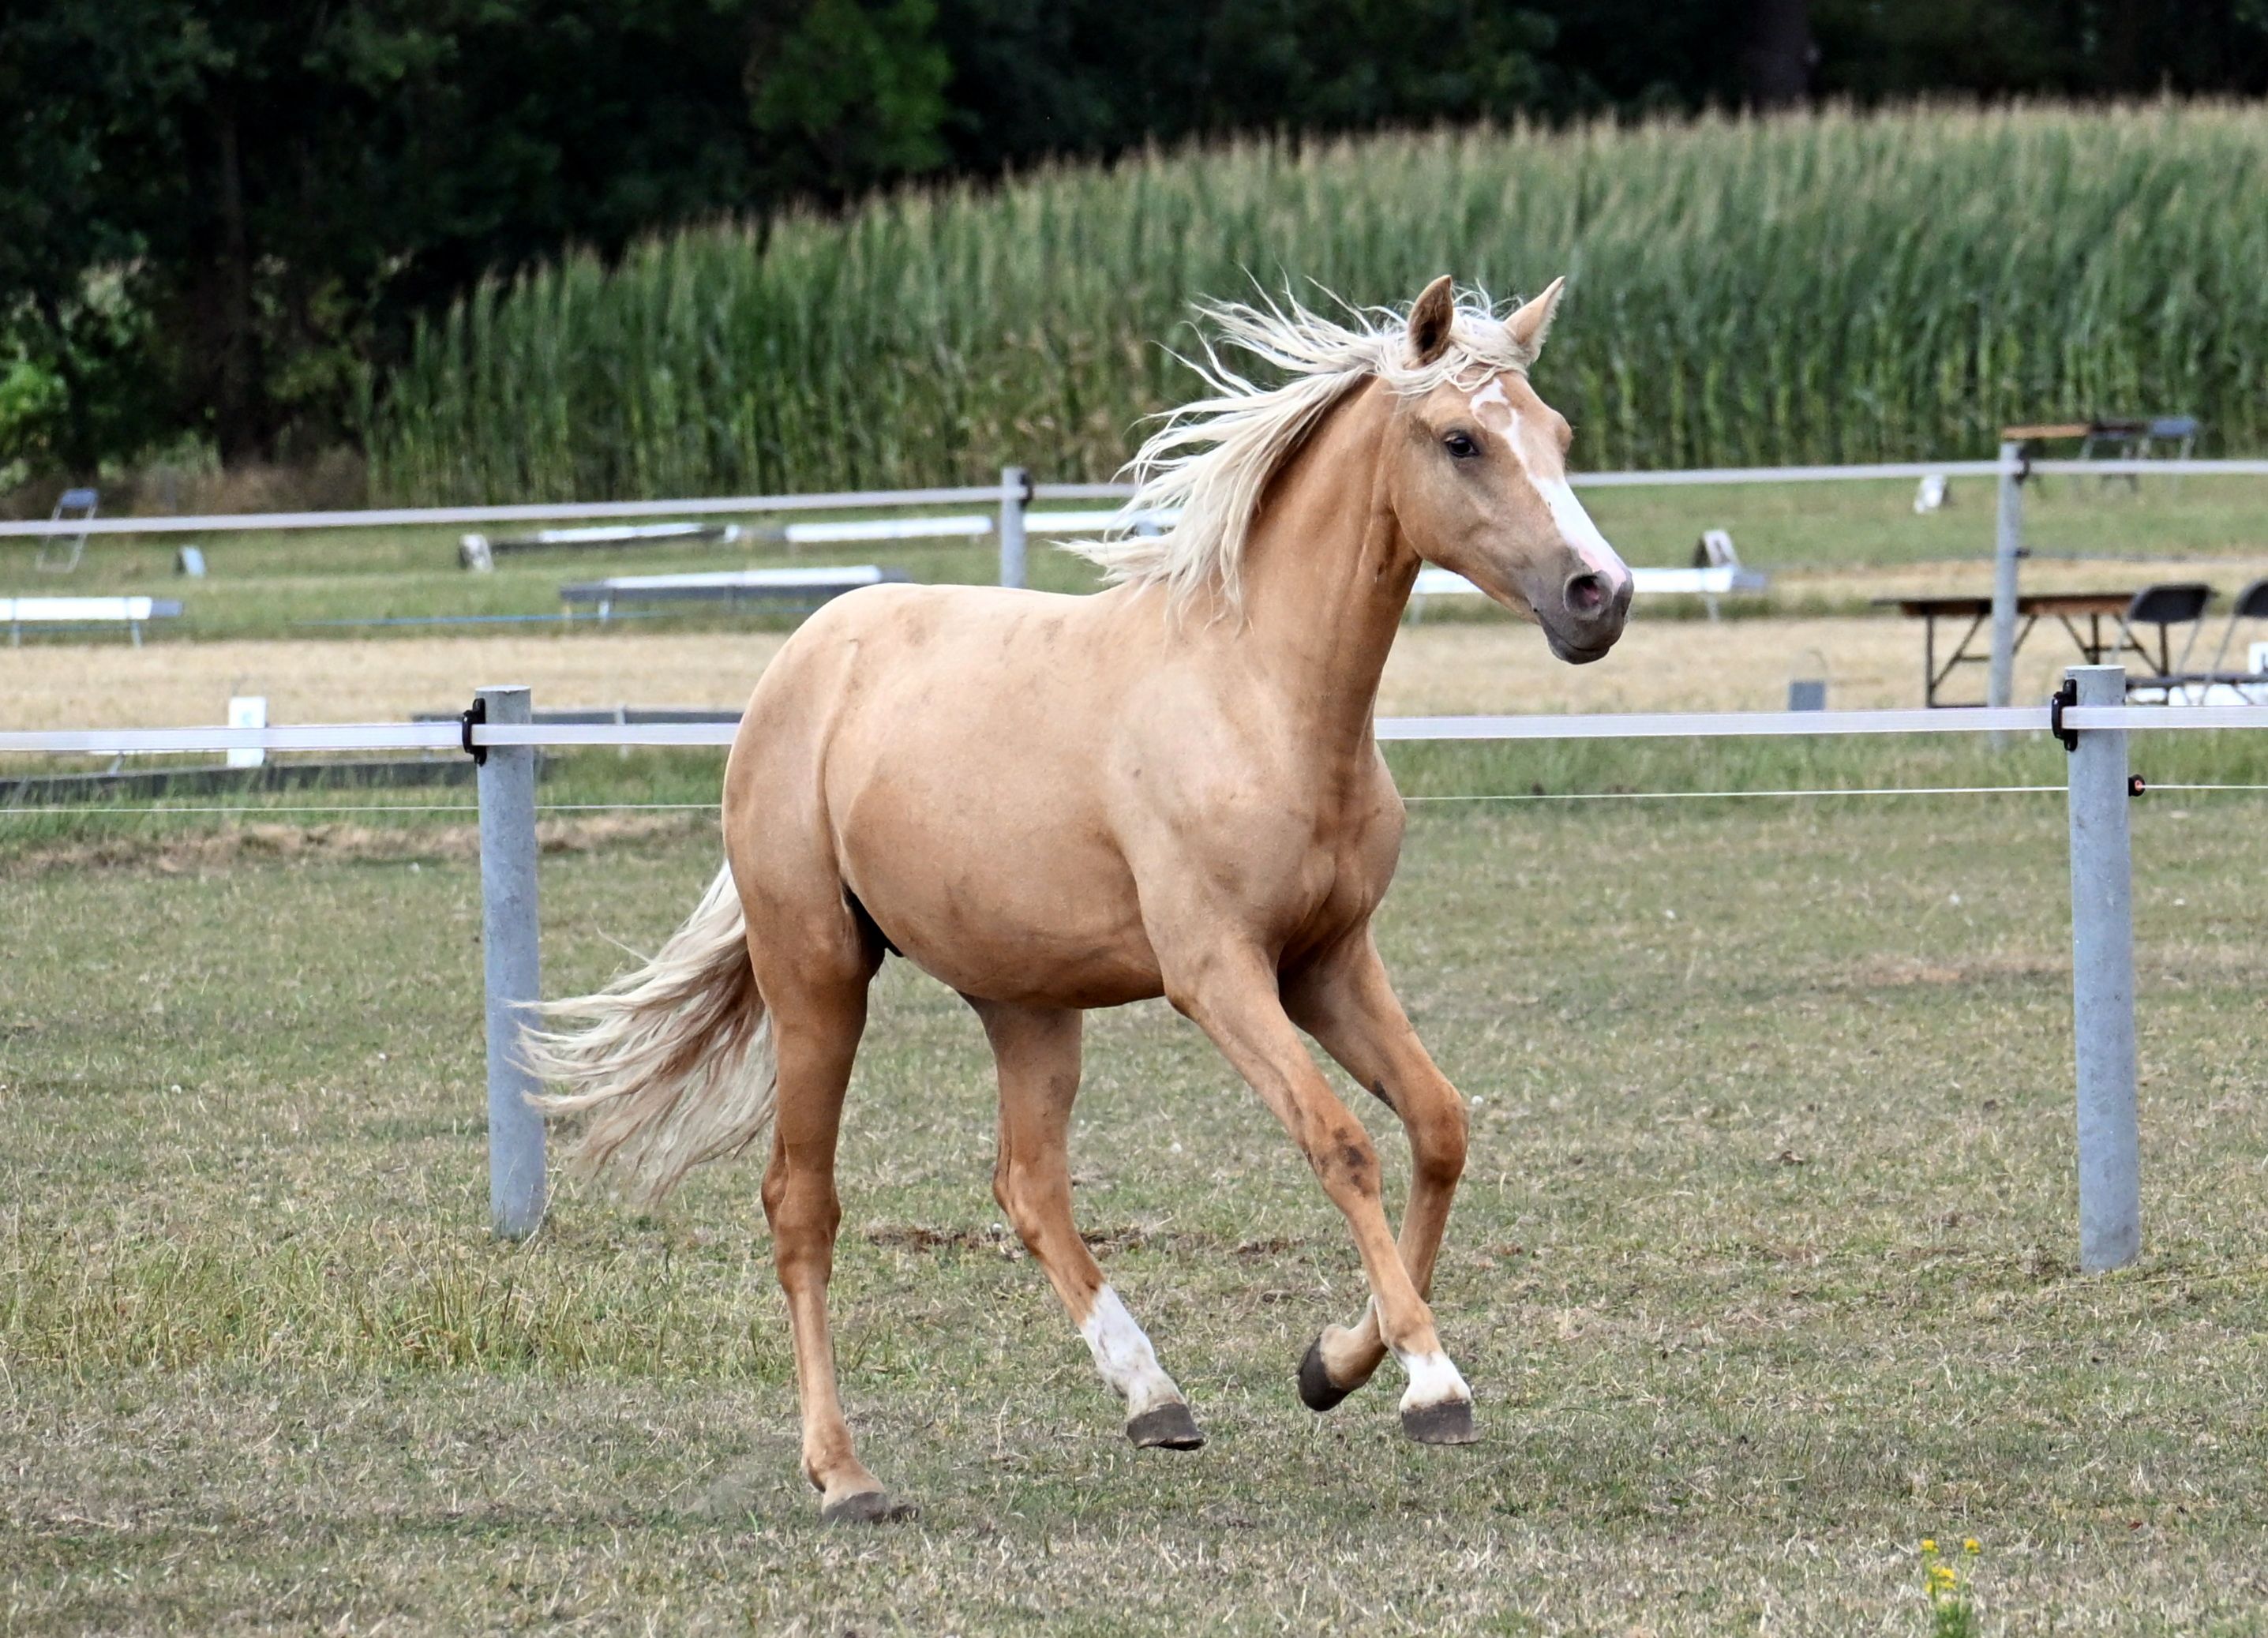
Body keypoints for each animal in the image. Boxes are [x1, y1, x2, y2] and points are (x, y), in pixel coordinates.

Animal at [529, 274, 1633, 1523]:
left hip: (1027, 1003)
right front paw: (1430, 1382)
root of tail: (798, 664)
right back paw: (845, 1471)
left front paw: (1332, 1364)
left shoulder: (1329, 961)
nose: (1600, 595)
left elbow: (1437, 1127)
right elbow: (1341, 1141)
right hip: (815, 974)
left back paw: (1152, 1394)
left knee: (1027, 1184)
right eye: (1459, 439)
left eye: (1556, 434)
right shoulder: (1219, 976)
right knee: (799, 1203)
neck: (1260, 696)